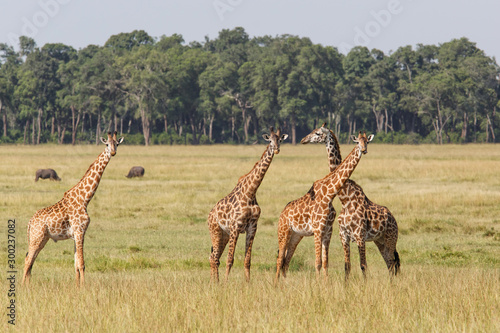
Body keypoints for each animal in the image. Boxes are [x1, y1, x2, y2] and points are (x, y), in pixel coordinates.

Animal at [22, 131, 125, 284]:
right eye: (107, 144)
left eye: (117, 144)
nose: (113, 152)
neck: (84, 199)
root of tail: (30, 222)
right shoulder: (80, 231)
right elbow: (82, 264)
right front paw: (84, 286)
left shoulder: (76, 234)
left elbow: (76, 264)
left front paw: (77, 286)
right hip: (37, 237)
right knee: (28, 260)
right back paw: (23, 286)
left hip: (42, 238)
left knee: (30, 260)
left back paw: (29, 285)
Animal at [207, 126, 288, 282]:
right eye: (270, 140)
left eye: (280, 140)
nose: (276, 149)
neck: (250, 192)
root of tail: (209, 216)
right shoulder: (235, 227)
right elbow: (230, 259)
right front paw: (226, 283)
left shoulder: (252, 227)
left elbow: (247, 260)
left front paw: (248, 283)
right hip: (215, 231)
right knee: (214, 258)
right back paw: (216, 282)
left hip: (224, 235)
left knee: (214, 257)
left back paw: (215, 282)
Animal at [276, 130, 374, 280]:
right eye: (358, 142)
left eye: (367, 141)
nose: (364, 150)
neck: (330, 194)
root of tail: (282, 214)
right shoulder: (317, 230)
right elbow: (317, 262)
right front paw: (317, 284)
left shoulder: (328, 231)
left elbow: (325, 263)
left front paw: (325, 284)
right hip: (284, 232)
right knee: (279, 259)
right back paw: (276, 284)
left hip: (296, 236)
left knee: (286, 262)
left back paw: (284, 284)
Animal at [300, 123, 398, 278]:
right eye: (357, 142)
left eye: (317, 133)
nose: (303, 139)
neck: (345, 198)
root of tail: (393, 219)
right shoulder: (343, 235)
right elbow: (347, 266)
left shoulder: (359, 235)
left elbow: (363, 265)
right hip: (379, 240)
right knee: (390, 263)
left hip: (390, 239)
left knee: (393, 263)